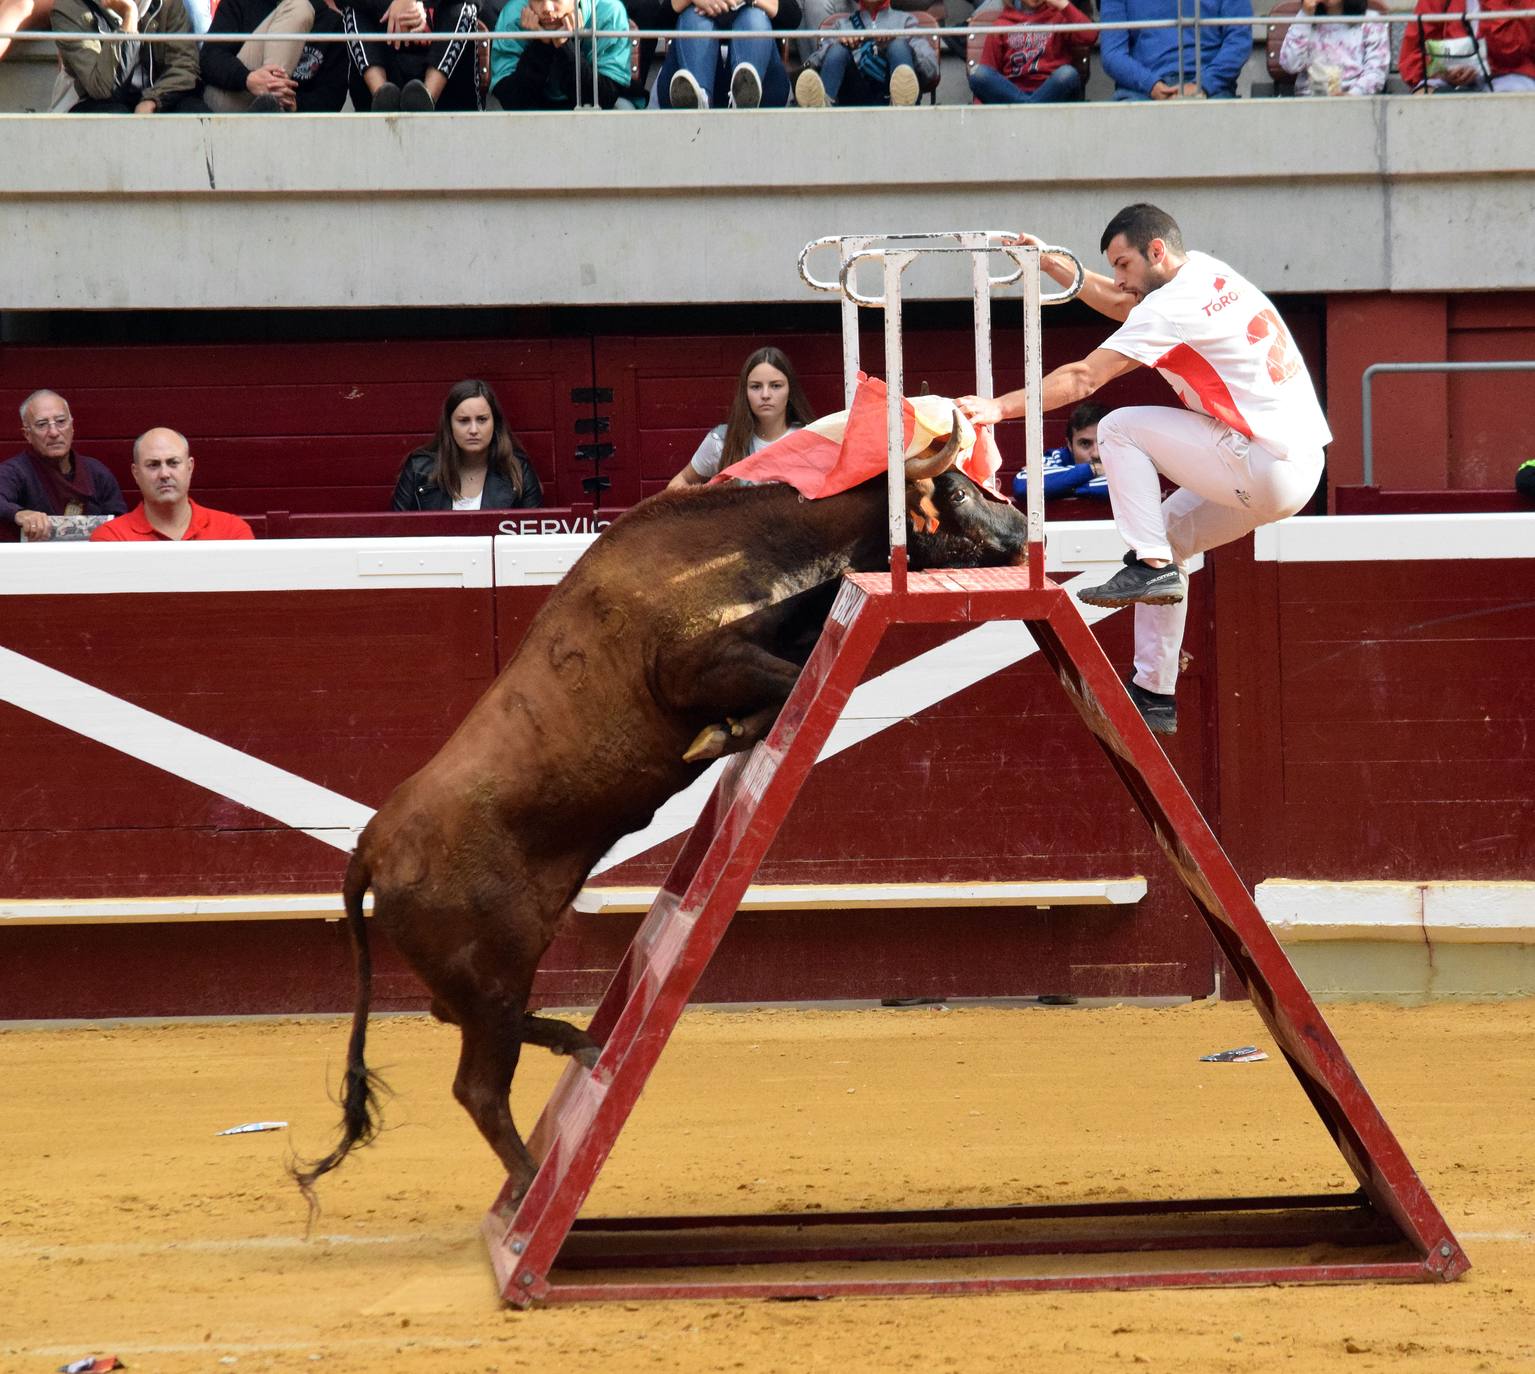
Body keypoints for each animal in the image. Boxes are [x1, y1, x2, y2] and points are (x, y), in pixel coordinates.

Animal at [293, 423, 1025, 1209]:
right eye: (960, 492)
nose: (1022, 532)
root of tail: (371, 844)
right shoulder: (696, 666)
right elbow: (791, 683)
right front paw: (723, 733)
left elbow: (793, 677)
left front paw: (730, 732)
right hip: (489, 971)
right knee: (478, 1086)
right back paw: (532, 1180)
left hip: (487, 972)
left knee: (452, 1020)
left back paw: (576, 1045)